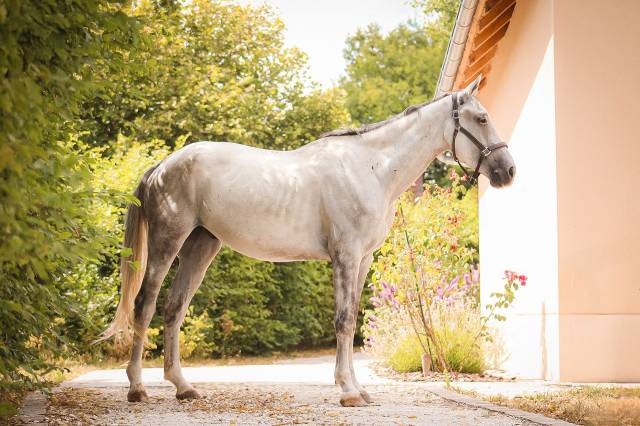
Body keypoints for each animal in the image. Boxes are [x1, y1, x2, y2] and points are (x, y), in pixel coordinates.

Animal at [99, 75, 515, 407]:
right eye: (482, 119)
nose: (508, 171)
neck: (372, 169)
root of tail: (163, 165)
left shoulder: (362, 260)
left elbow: (352, 320)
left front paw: (359, 389)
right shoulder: (345, 256)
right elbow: (344, 321)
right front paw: (348, 392)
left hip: (201, 246)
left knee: (174, 309)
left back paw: (183, 387)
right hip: (167, 244)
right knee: (145, 306)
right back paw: (137, 389)